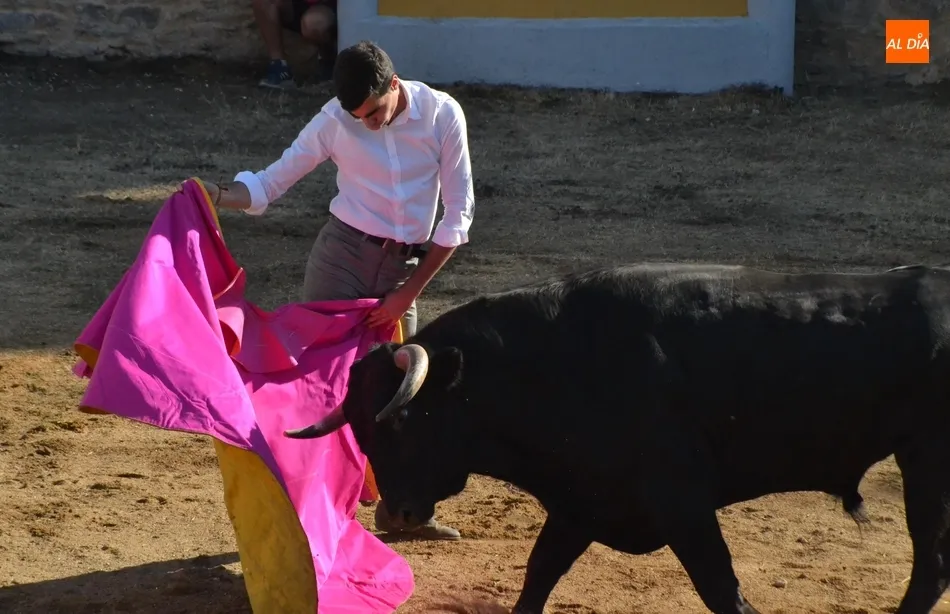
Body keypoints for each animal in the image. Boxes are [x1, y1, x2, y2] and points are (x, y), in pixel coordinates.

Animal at [284, 262, 950, 614]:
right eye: (361, 432)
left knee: (930, 564)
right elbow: (538, 575)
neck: (559, 366)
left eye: (401, 421)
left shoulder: (683, 504)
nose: (396, 514)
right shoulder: (579, 504)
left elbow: (722, 588)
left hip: (926, 460)